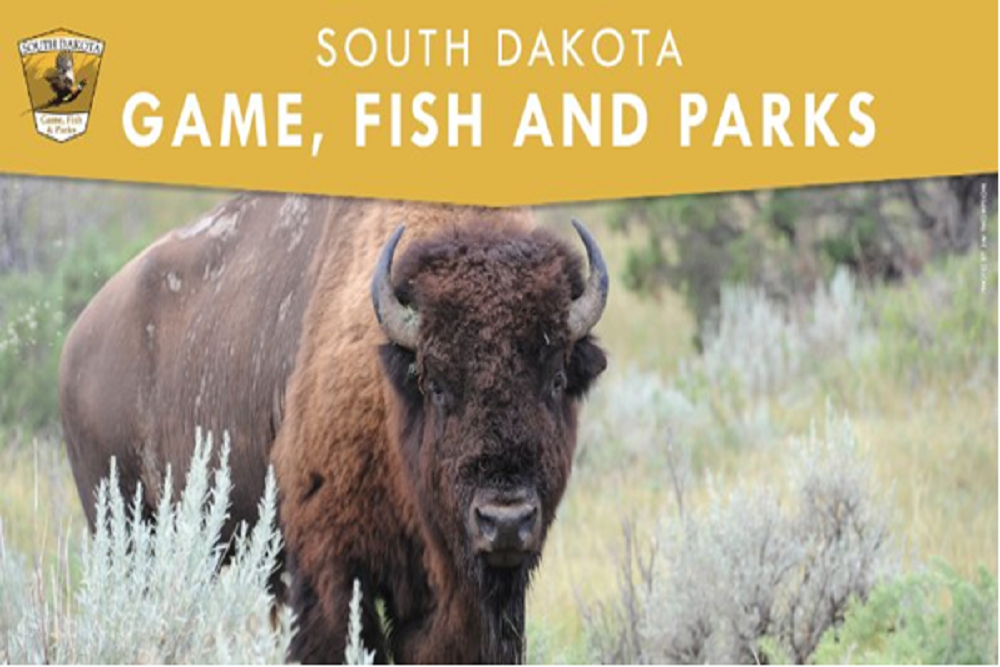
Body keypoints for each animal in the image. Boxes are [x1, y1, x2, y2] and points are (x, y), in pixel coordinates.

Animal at [59, 195, 608, 663]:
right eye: (435, 382)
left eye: (557, 378)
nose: (506, 520)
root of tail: (78, 341)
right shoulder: (333, 568)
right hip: (127, 531)